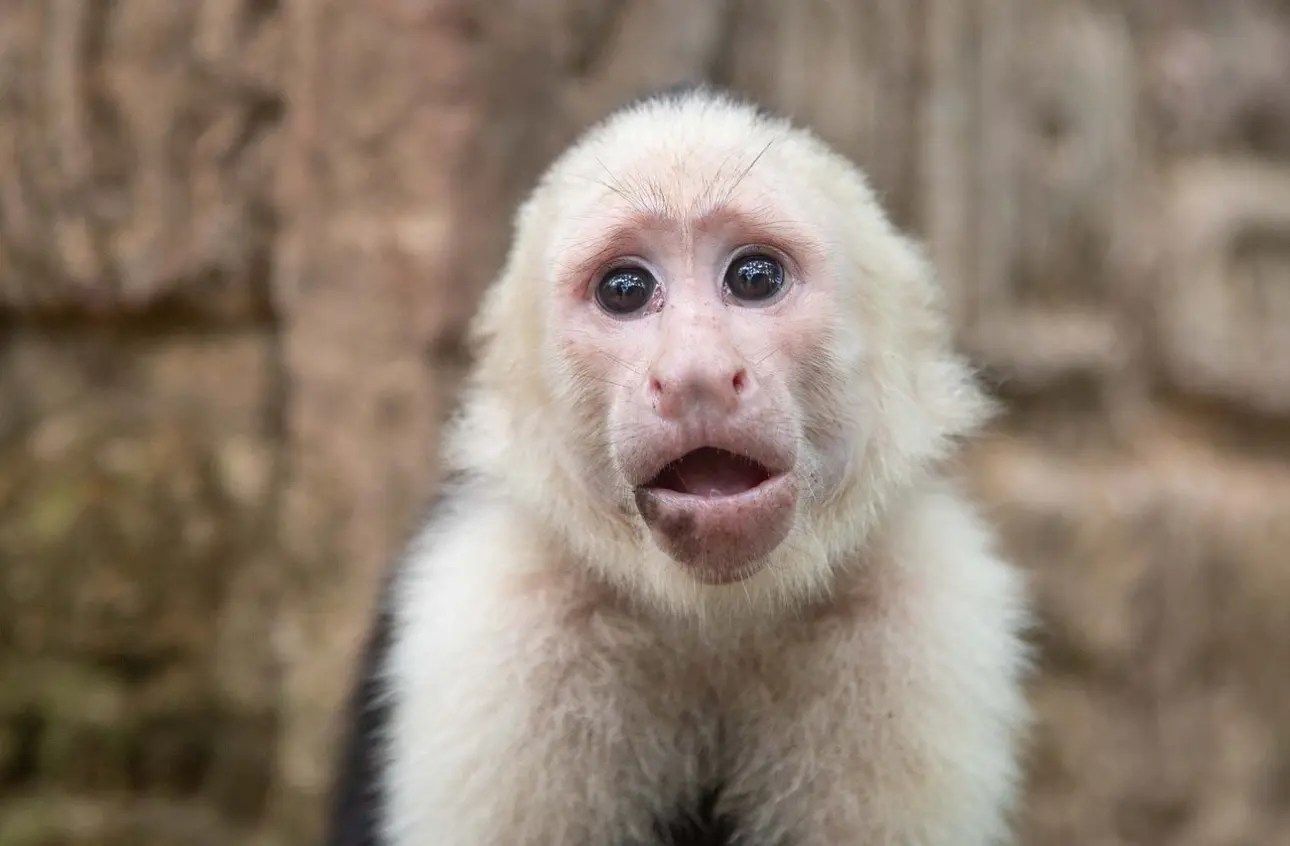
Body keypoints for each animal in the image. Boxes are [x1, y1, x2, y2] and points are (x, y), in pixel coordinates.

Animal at [323, 83, 1031, 846]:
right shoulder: (496, 614)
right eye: (625, 289)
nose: (697, 377)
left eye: (754, 277)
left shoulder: (919, 610)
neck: (713, 618)